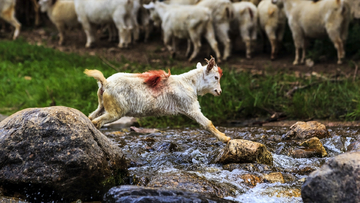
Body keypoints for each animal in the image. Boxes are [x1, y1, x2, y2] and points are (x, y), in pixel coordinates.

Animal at [84, 56, 231, 143]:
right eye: (216, 77)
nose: (219, 92)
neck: (190, 83)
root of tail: (105, 83)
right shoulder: (190, 106)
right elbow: (207, 123)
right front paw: (225, 138)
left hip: (102, 105)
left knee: (91, 117)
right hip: (116, 110)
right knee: (97, 122)